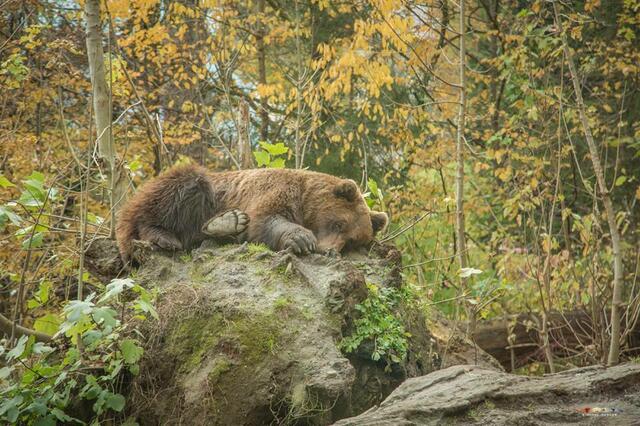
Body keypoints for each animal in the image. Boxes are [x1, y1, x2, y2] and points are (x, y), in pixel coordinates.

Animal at [116, 164, 388, 261]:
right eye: (339, 224)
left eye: (352, 241)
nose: (328, 250)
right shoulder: (275, 190)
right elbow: (266, 219)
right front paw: (302, 239)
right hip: (199, 191)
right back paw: (163, 237)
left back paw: (227, 224)